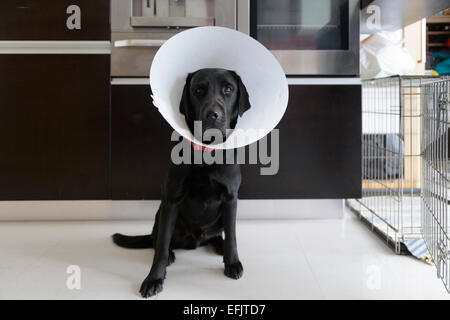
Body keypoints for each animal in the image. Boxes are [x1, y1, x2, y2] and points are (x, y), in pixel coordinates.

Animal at [111, 68, 251, 298]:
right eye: (198, 90)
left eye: (228, 89)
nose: (213, 114)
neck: (206, 155)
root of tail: (196, 239)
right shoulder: (171, 200)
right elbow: (160, 246)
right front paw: (154, 279)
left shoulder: (231, 199)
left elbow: (232, 236)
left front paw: (232, 263)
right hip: (161, 213)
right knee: (157, 239)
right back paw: (169, 253)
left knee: (218, 235)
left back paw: (219, 245)